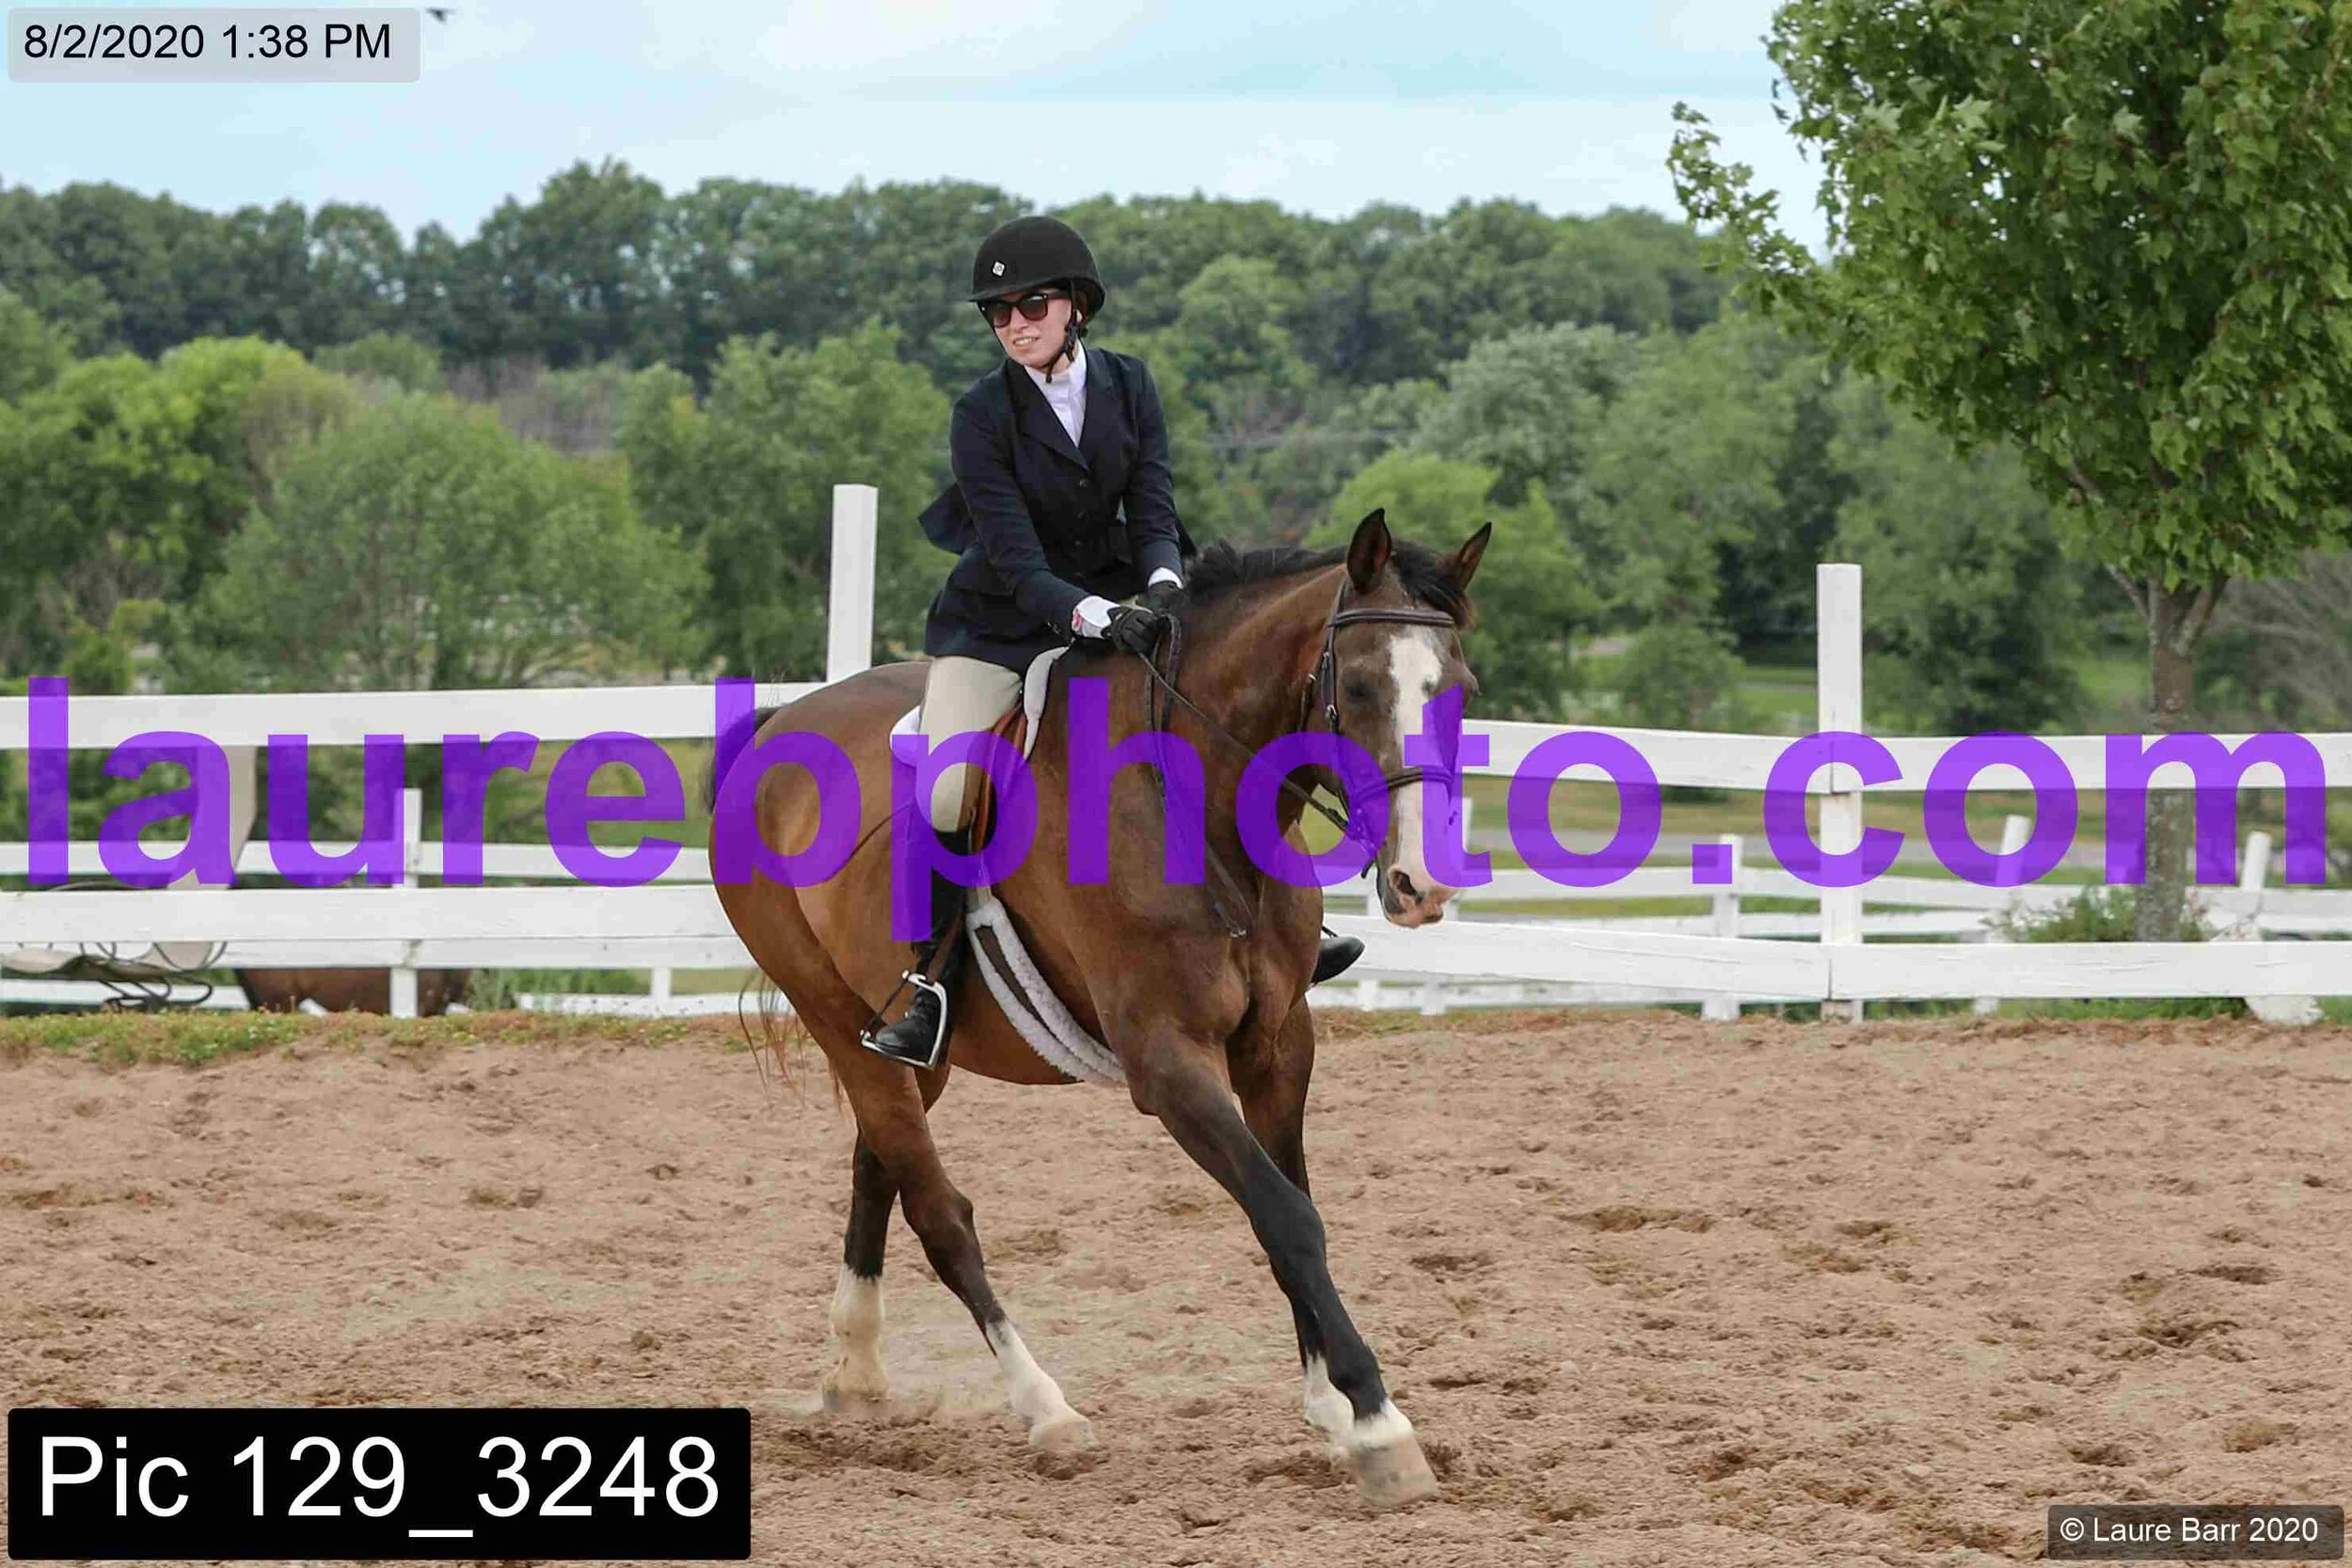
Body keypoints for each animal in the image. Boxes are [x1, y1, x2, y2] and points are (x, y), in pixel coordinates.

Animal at [713, 510, 1488, 1510]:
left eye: (1458, 689)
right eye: (1356, 684)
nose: (1422, 885)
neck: (1197, 803)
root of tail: (782, 722)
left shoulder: (1279, 1044)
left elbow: (1291, 1208)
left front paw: (1329, 1405)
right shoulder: (1168, 1061)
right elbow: (1286, 1215)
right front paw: (1377, 1423)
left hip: (907, 1048)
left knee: (876, 1167)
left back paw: (854, 1374)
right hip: (830, 1012)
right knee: (938, 1210)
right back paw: (1045, 1408)